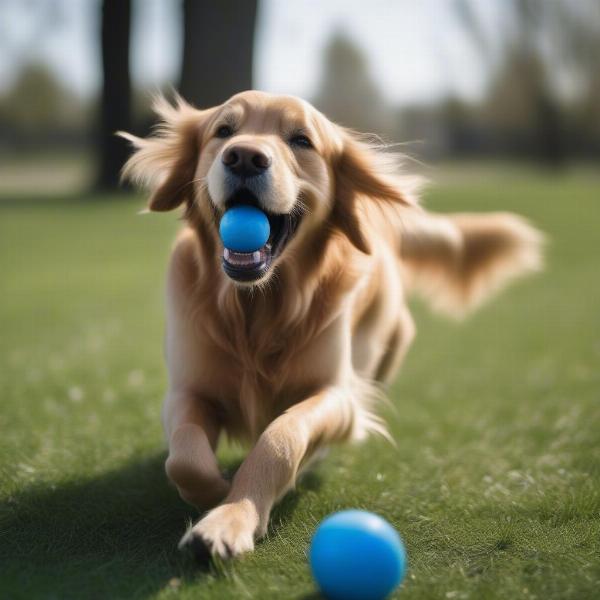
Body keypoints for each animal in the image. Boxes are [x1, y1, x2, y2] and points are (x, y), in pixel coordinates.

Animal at [119, 91, 540, 560]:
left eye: (301, 139)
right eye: (223, 131)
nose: (244, 157)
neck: (257, 308)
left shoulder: (337, 395)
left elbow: (281, 438)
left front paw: (230, 517)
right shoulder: (187, 390)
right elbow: (185, 456)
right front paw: (214, 490)